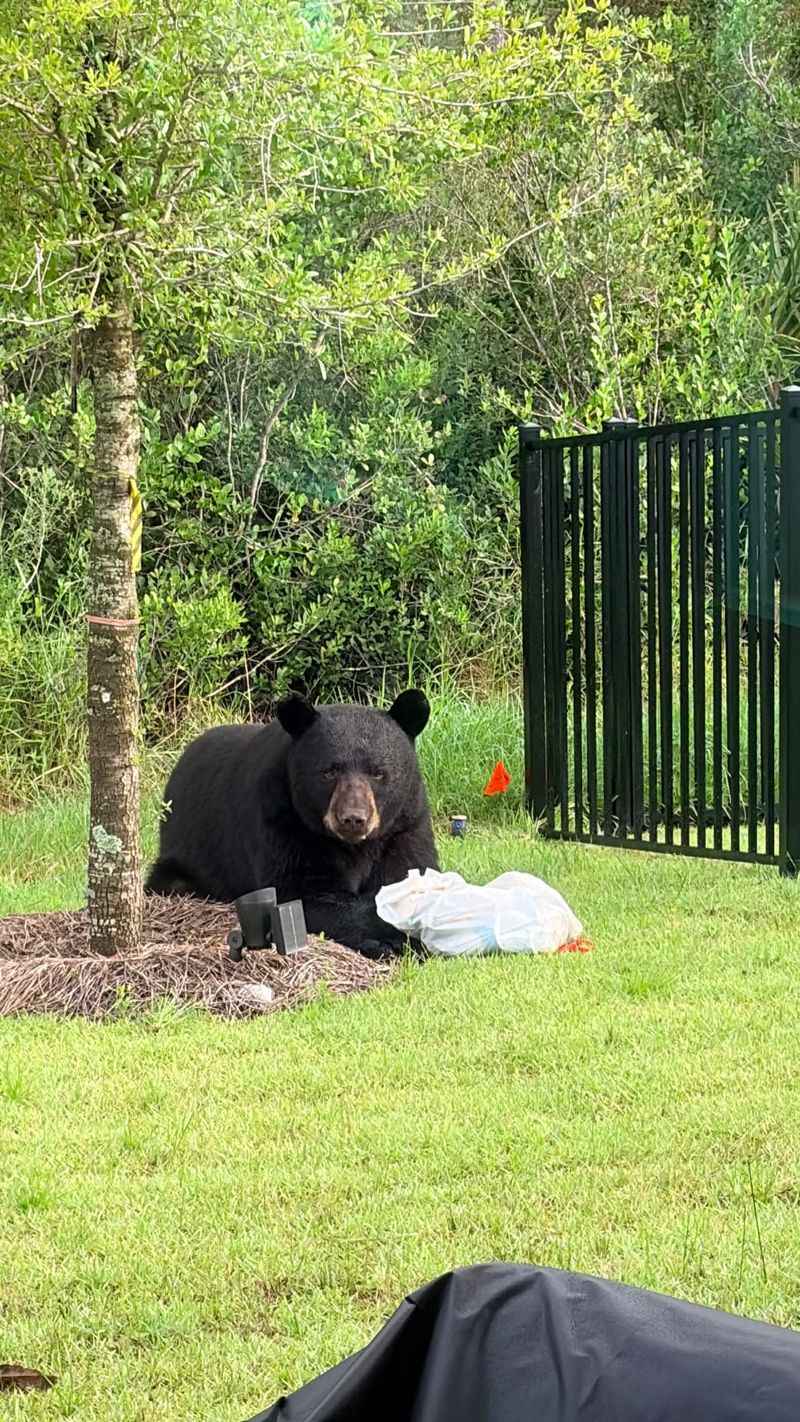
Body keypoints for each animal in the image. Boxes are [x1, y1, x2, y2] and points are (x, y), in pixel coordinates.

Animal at [145, 689, 439, 958]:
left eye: (378, 773)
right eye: (328, 771)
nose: (353, 819)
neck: (356, 846)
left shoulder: (405, 824)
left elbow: (410, 869)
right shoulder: (284, 823)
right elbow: (304, 895)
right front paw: (392, 938)